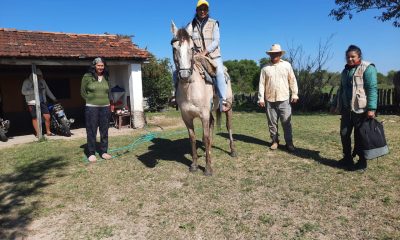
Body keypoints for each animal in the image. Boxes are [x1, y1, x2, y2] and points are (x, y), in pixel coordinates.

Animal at [170, 22, 236, 176]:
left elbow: (205, 137)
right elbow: (193, 138)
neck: (190, 90)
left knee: (228, 126)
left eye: (192, 48)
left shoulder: (204, 114)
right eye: (174, 48)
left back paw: (232, 150)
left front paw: (208, 168)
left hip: (228, 107)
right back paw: (209, 149)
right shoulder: (186, 117)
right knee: (212, 124)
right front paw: (194, 164)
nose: (184, 75)